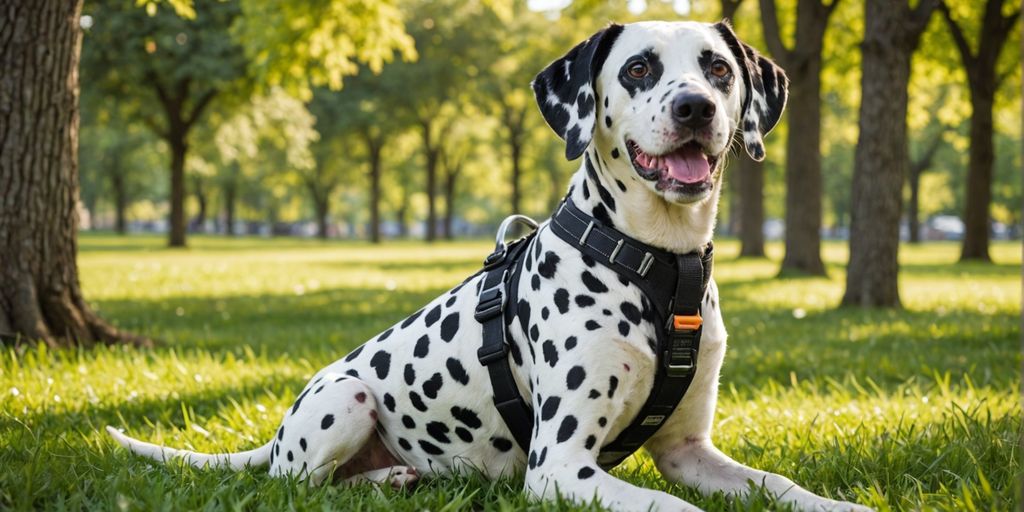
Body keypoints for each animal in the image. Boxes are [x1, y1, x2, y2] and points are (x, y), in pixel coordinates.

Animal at [110, 20, 872, 512]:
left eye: (718, 68)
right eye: (639, 68)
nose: (696, 107)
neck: (659, 264)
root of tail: (271, 441)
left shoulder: (690, 451)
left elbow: (784, 487)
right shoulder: (561, 467)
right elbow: (675, 508)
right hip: (344, 400)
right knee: (295, 488)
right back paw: (383, 481)